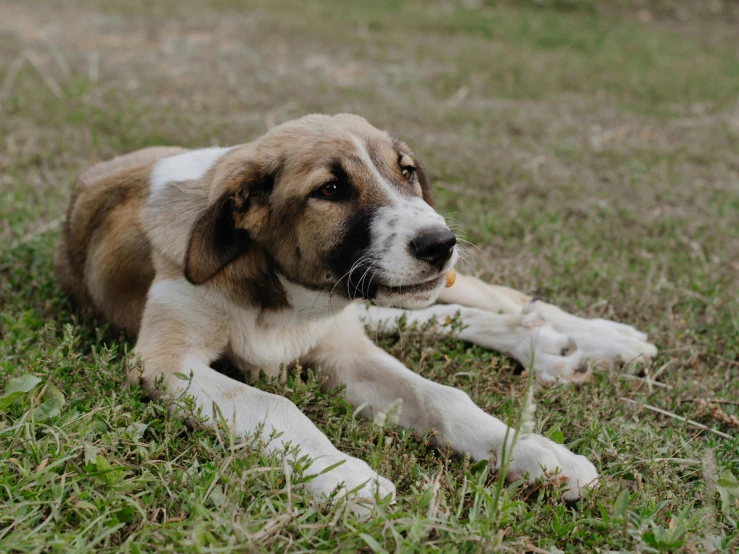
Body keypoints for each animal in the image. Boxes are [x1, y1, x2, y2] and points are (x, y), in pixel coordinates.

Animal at [57, 114, 656, 512]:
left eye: (407, 172)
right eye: (330, 189)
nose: (439, 243)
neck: (282, 295)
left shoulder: (345, 352)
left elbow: (443, 397)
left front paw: (533, 453)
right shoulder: (166, 361)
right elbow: (275, 405)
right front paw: (343, 473)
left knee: (500, 297)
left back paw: (597, 338)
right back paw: (545, 345)